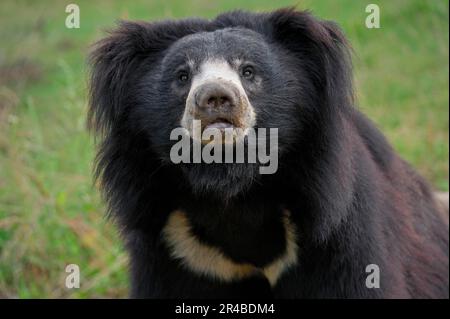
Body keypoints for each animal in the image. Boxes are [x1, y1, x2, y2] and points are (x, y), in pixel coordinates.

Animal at [88, 7, 446, 298]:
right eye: (182, 75)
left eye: (248, 71)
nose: (215, 98)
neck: (234, 188)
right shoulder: (176, 248)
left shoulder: (337, 230)